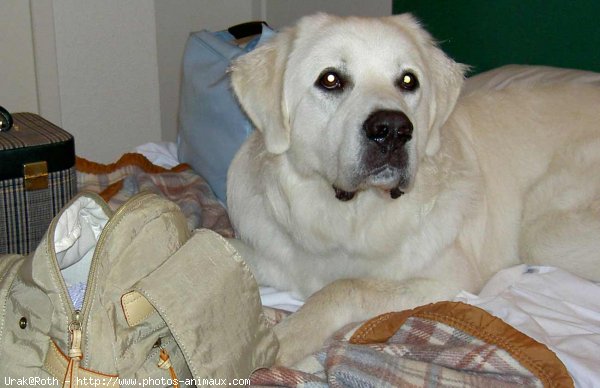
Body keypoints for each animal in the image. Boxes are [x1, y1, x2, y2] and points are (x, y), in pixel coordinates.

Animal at [226, 13, 600, 366]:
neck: (348, 216)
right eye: (330, 79)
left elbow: (345, 286)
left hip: (542, 234)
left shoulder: (444, 279)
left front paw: (284, 340)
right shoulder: (270, 251)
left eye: (408, 81)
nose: (393, 130)